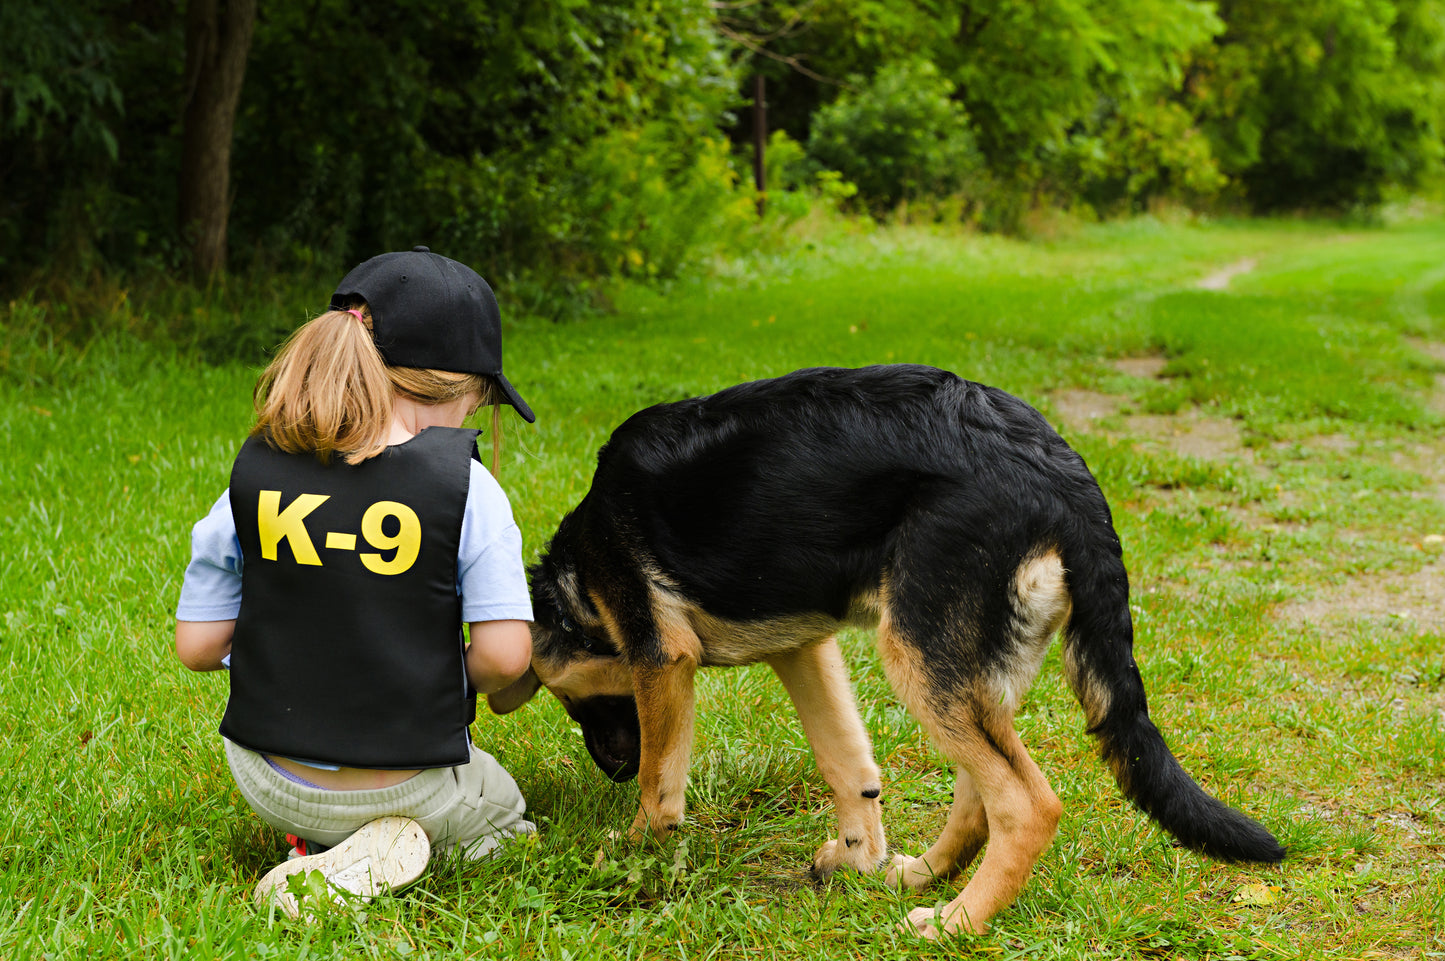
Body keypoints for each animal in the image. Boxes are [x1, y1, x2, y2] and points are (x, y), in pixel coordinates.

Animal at [491, 364, 1283, 930]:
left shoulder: (662, 657)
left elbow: (662, 784)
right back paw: (922, 875)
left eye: (575, 702)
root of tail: (1060, 467)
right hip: (963, 672)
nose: (614, 769)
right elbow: (848, 764)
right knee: (980, 798)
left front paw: (627, 853)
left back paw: (958, 921)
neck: (576, 578)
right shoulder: (804, 648)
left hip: (917, 655)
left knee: (1027, 804)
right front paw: (861, 859)